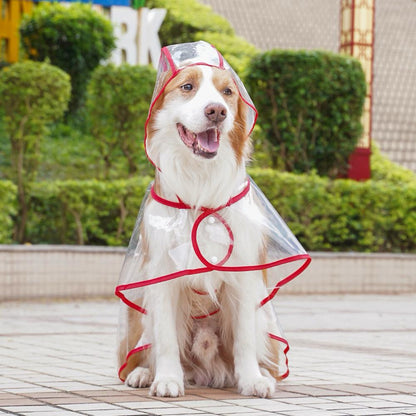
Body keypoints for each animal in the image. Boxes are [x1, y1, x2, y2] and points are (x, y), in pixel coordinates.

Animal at [115, 40, 310, 398]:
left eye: (228, 92)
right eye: (187, 87)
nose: (216, 111)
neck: (200, 189)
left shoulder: (244, 275)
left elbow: (245, 340)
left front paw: (252, 379)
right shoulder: (162, 276)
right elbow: (166, 339)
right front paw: (167, 379)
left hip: (265, 321)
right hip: (138, 308)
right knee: (145, 347)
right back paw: (144, 373)